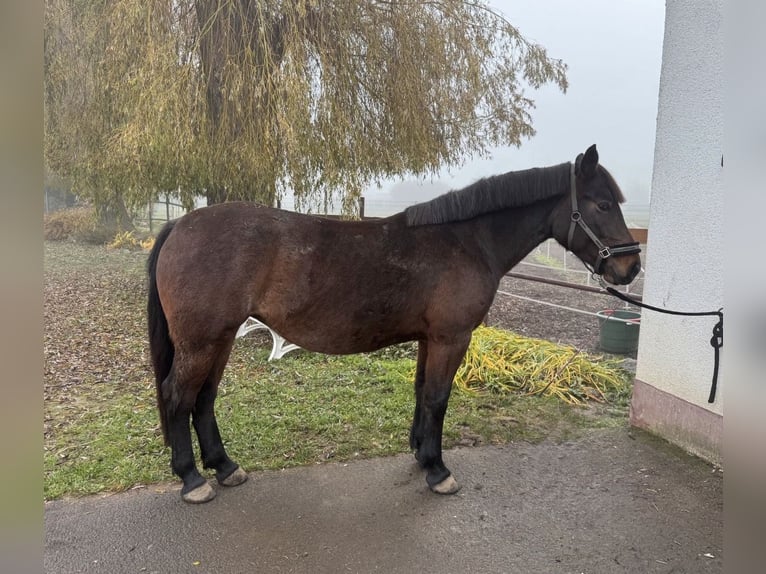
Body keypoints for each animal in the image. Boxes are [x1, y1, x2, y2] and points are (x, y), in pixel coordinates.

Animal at [147, 144, 641, 503]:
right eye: (601, 204)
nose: (631, 267)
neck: (466, 241)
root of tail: (179, 226)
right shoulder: (451, 338)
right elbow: (439, 398)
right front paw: (438, 471)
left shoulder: (429, 339)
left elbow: (423, 393)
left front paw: (421, 455)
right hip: (201, 341)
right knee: (178, 396)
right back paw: (193, 480)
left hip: (220, 338)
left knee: (203, 398)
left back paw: (225, 467)